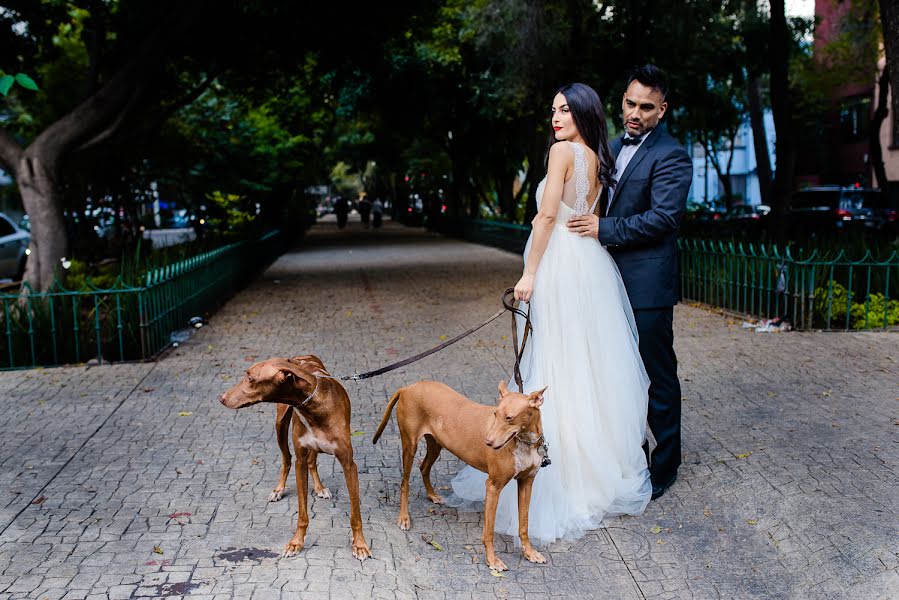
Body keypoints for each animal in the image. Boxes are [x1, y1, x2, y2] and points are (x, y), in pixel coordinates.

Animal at [221, 354, 372, 560]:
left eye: (250, 378)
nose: (221, 398)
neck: (312, 406)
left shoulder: (349, 465)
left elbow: (355, 514)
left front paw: (360, 544)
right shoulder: (300, 461)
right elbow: (302, 513)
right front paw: (296, 542)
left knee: (312, 461)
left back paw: (320, 487)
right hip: (280, 426)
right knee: (287, 460)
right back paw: (279, 490)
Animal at [372, 380, 548, 572]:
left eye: (509, 418)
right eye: (495, 413)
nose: (487, 442)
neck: (525, 442)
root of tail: (408, 387)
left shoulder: (526, 483)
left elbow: (524, 524)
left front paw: (529, 552)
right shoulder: (493, 486)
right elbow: (489, 531)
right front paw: (492, 560)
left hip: (436, 444)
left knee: (424, 467)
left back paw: (432, 495)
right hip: (409, 445)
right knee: (405, 483)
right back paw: (404, 518)